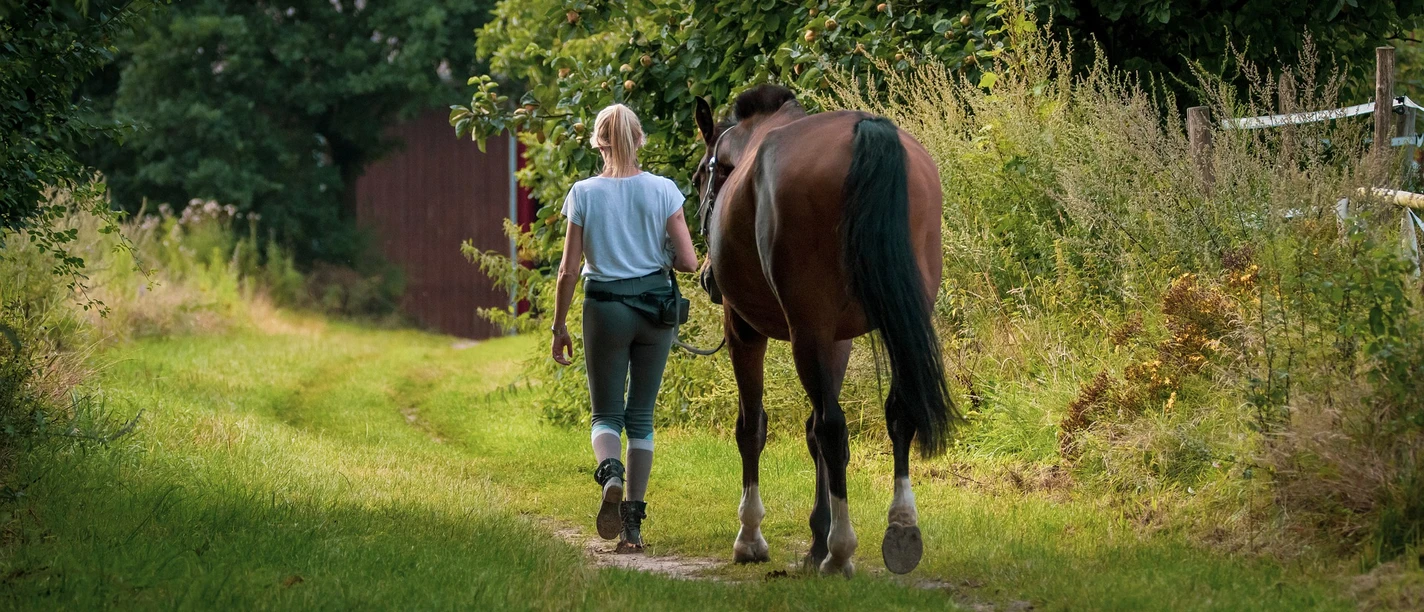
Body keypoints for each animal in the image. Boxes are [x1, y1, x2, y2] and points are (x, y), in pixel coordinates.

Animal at [690, 85, 960, 577]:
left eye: (703, 175)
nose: (707, 278)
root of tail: (866, 131)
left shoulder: (745, 330)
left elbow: (753, 428)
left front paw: (752, 537)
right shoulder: (838, 340)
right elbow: (813, 430)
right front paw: (815, 537)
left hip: (805, 331)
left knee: (834, 427)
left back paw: (840, 551)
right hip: (899, 316)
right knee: (896, 412)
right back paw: (900, 530)